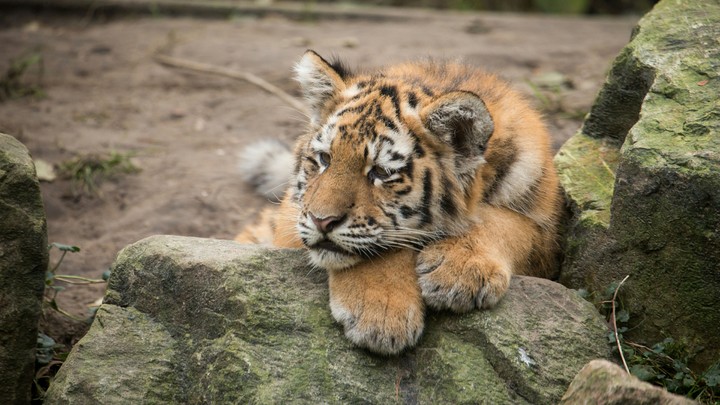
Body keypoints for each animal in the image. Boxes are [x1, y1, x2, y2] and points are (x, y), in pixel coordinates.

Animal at [235, 50, 563, 355]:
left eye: (381, 172)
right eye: (325, 159)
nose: (322, 221)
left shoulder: (548, 237)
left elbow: (508, 223)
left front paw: (460, 271)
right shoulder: (293, 217)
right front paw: (380, 315)